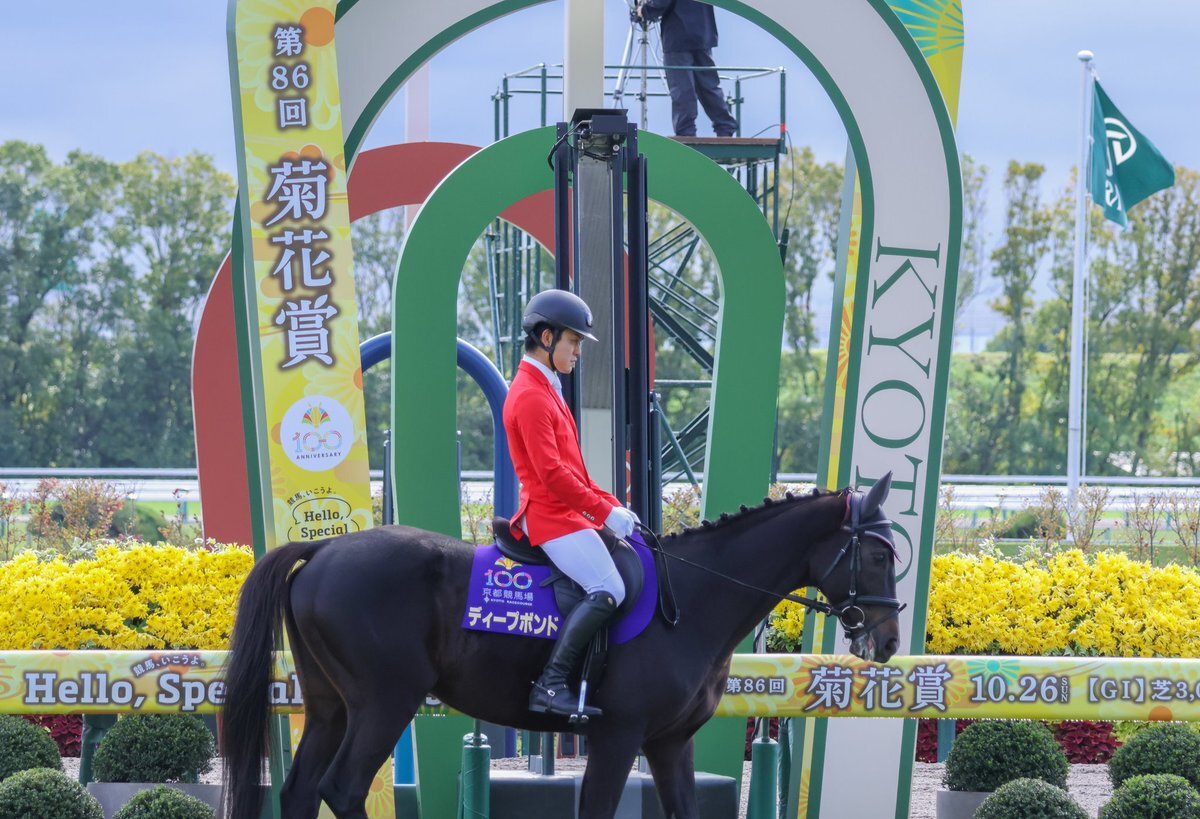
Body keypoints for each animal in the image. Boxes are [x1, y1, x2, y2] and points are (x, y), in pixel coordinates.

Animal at [221, 475, 902, 819]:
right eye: (876, 554)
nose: (890, 642)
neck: (693, 599)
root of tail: (323, 549)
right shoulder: (618, 737)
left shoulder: (669, 743)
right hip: (385, 703)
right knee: (341, 789)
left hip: (331, 707)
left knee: (302, 792)